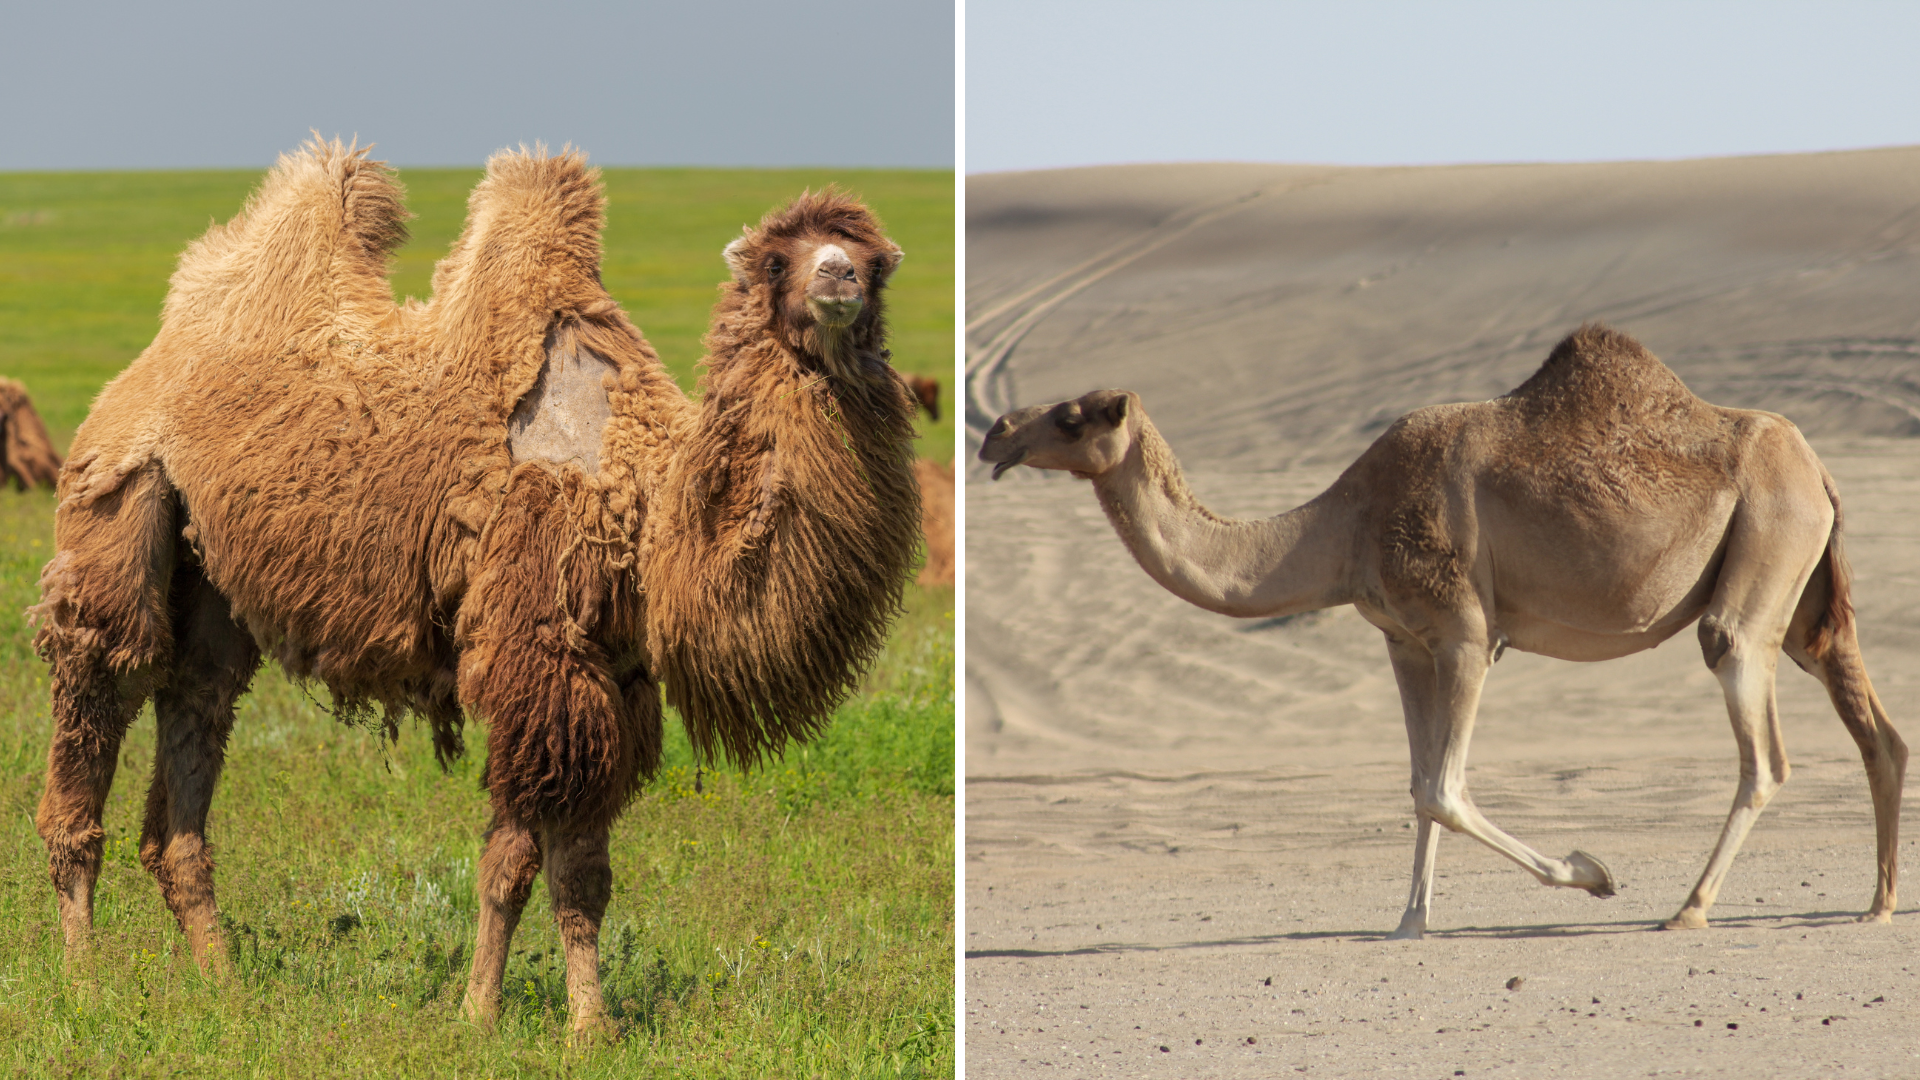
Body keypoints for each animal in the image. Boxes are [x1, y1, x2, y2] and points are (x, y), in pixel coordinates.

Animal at [32, 139, 920, 1032]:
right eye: (777, 260)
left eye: (875, 261)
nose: (839, 279)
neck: (650, 509)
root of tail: (151, 361)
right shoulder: (535, 648)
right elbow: (514, 861)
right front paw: (484, 1015)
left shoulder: (617, 674)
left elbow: (583, 871)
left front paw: (588, 1026)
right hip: (120, 497)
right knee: (100, 687)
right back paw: (84, 984)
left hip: (212, 580)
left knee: (194, 709)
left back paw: (225, 986)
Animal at [979, 324, 1906, 938]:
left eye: (1074, 416)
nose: (995, 430)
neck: (1343, 526)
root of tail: (1818, 467)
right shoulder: (1403, 639)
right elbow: (1418, 783)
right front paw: (1409, 920)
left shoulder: (1464, 632)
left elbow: (1445, 788)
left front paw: (1592, 872)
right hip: (1802, 589)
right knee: (1875, 729)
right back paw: (1879, 902)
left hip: (1763, 551)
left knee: (1757, 729)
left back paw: (1689, 908)